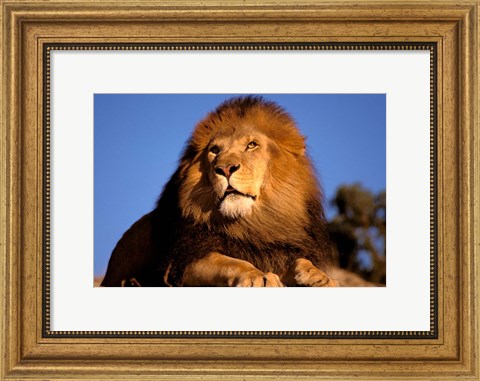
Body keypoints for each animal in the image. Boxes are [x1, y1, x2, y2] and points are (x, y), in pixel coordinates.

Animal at [101, 96, 338, 286]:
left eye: (252, 145)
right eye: (215, 150)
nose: (225, 169)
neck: (254, 224)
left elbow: (301, 260)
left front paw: (319, 277)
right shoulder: (185, 261)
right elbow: (231, 263)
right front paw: (259, 276)